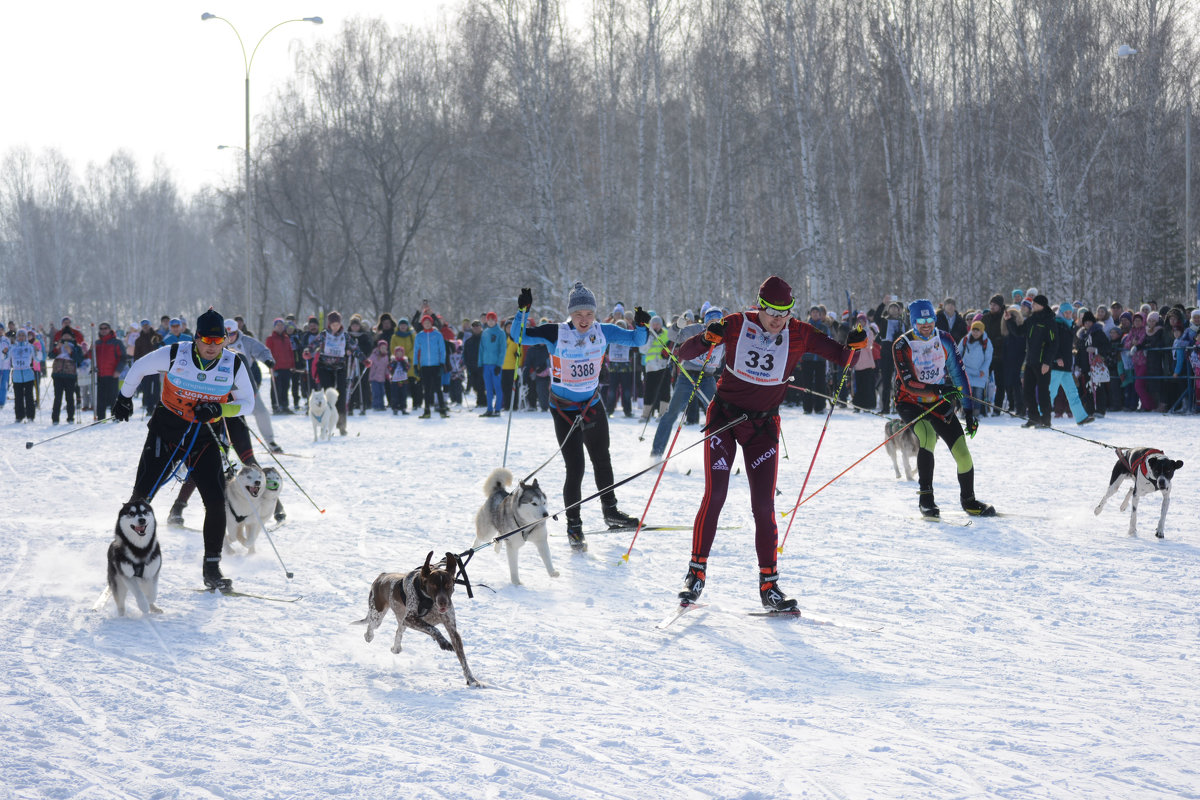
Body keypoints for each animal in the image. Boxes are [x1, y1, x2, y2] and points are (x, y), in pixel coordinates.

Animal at [352, 551, 480, 690]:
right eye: (433, 585)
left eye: (448, 585)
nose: (443, 602)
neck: (430, 601)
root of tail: (382, 576)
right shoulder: (411, 619)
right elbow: (433, 628)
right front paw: (443, 642)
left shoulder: (452, 630)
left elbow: (463, 660)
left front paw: (472, 680)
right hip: (378, 615)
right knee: (370, 627)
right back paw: (369, 636)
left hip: (401, 621)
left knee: (398, 632)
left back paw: (396, 648)